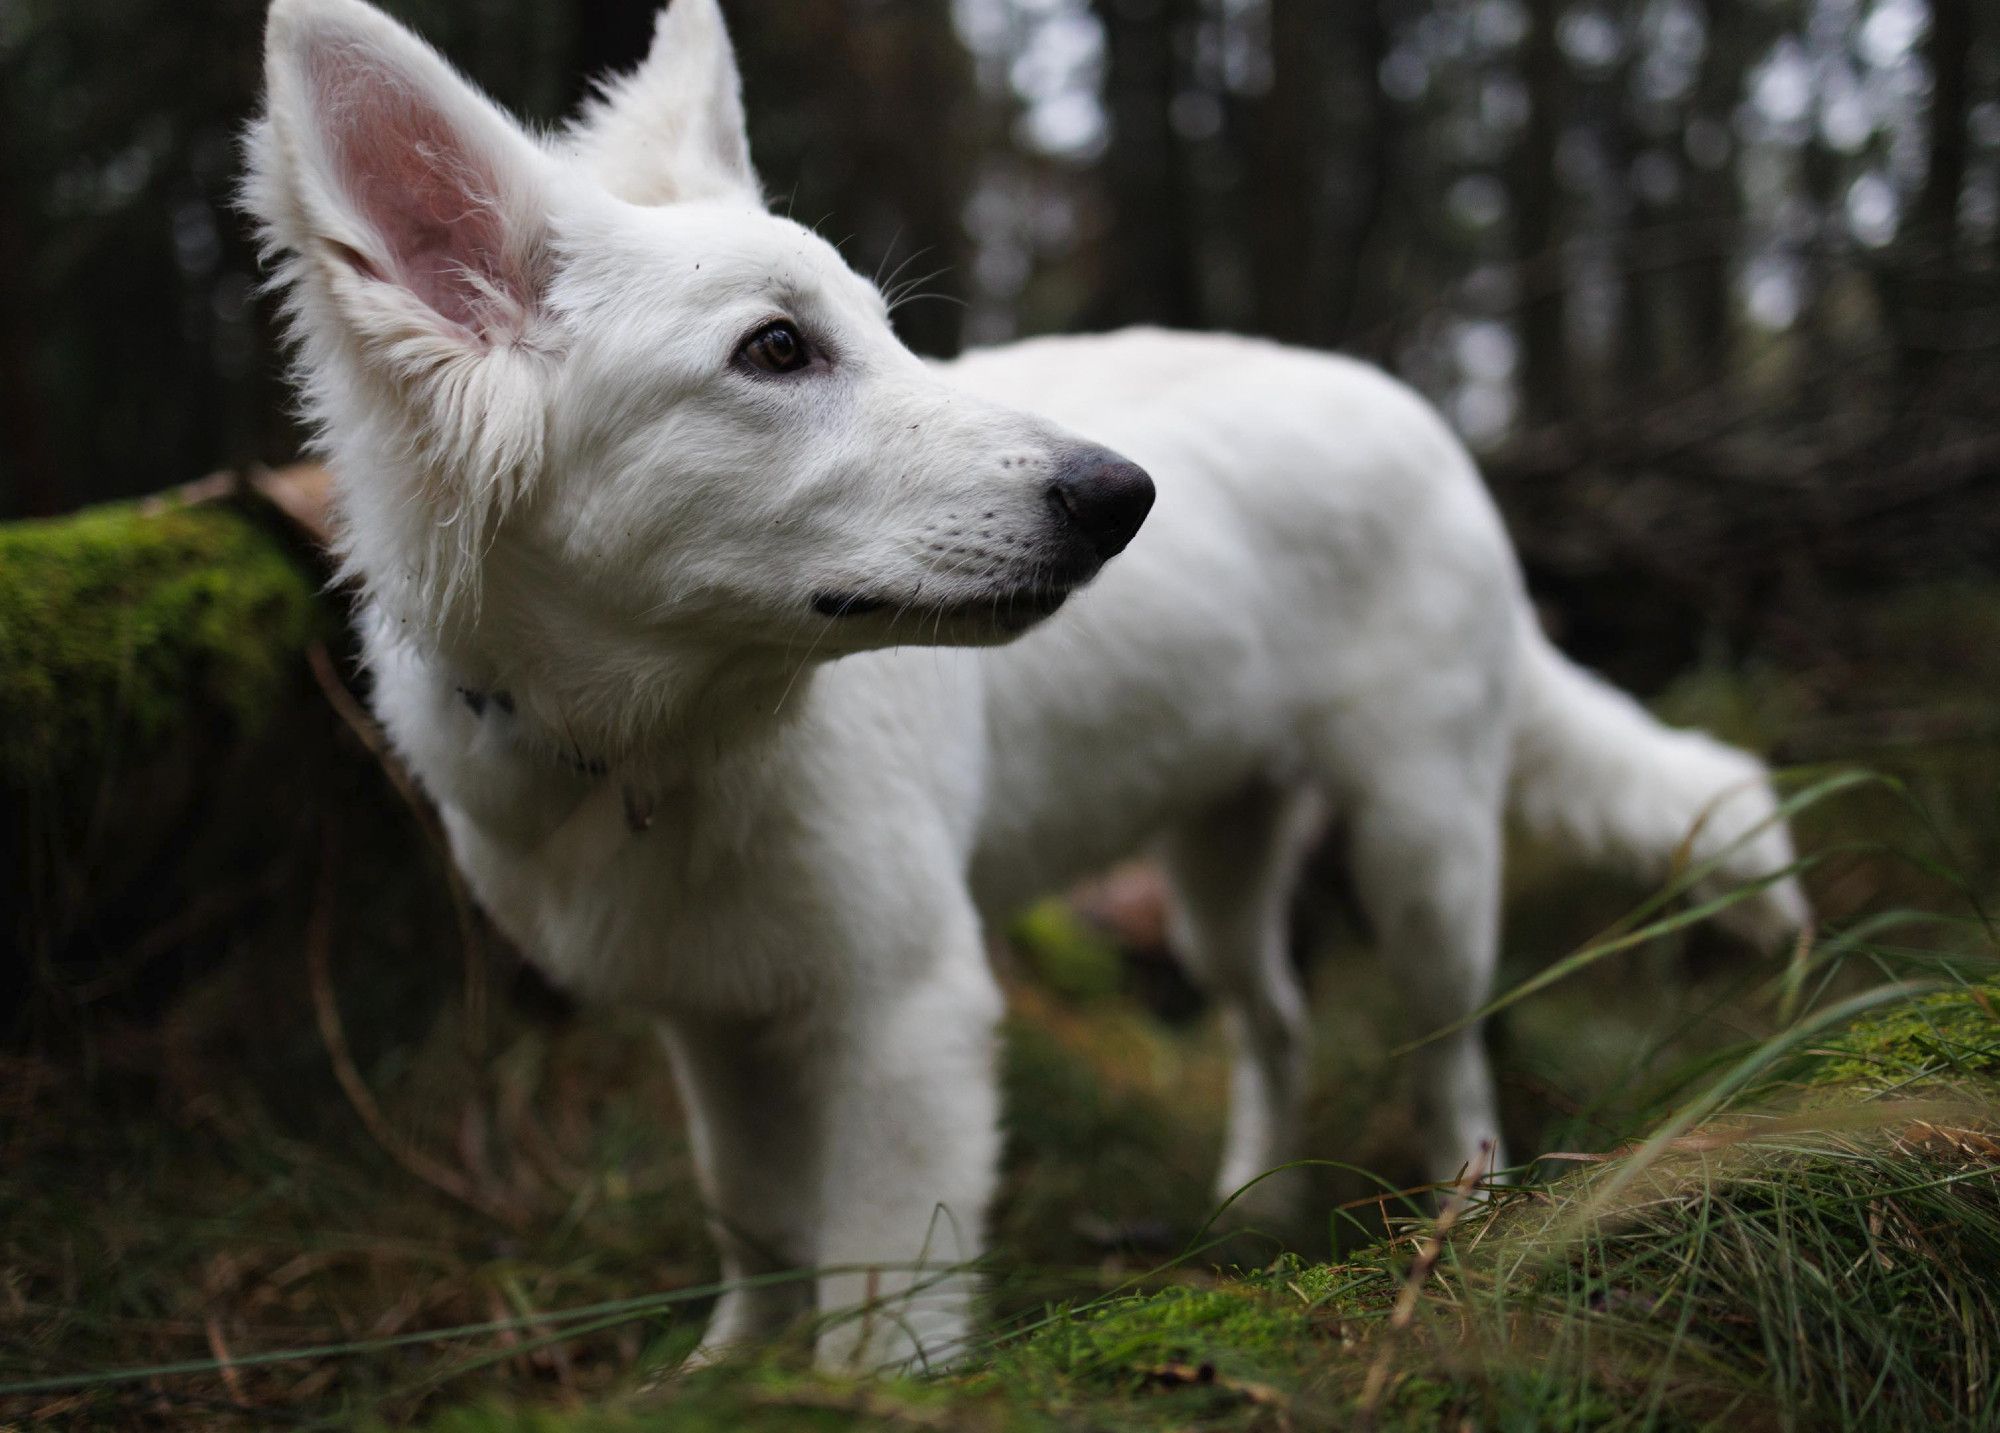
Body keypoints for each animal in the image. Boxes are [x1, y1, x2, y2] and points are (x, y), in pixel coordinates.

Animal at [246, 0, 1816, 1368]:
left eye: (883, 329)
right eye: (776, 349)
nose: (1125, 498)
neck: (661, 746)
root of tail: (1424, 415)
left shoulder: (911, 1013)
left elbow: (877, 1286)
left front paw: (848, 1390)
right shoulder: (712, 1018)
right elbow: (753, 1220)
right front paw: (730, 1371)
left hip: (1419, 850)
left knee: (1451, 1064)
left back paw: (1461, 1231)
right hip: (1216, 863)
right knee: (1277, 1020)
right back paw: (1254, 1211)